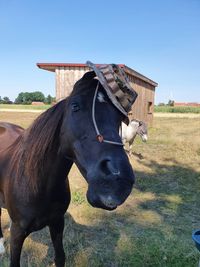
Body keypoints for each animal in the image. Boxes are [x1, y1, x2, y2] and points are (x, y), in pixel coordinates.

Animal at [0, 68, 137, 266]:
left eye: (120, 117)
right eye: (75, 106)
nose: (117, 182)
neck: (37, 184)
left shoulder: (57, 223)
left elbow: (60, 257)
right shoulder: (18, 233)